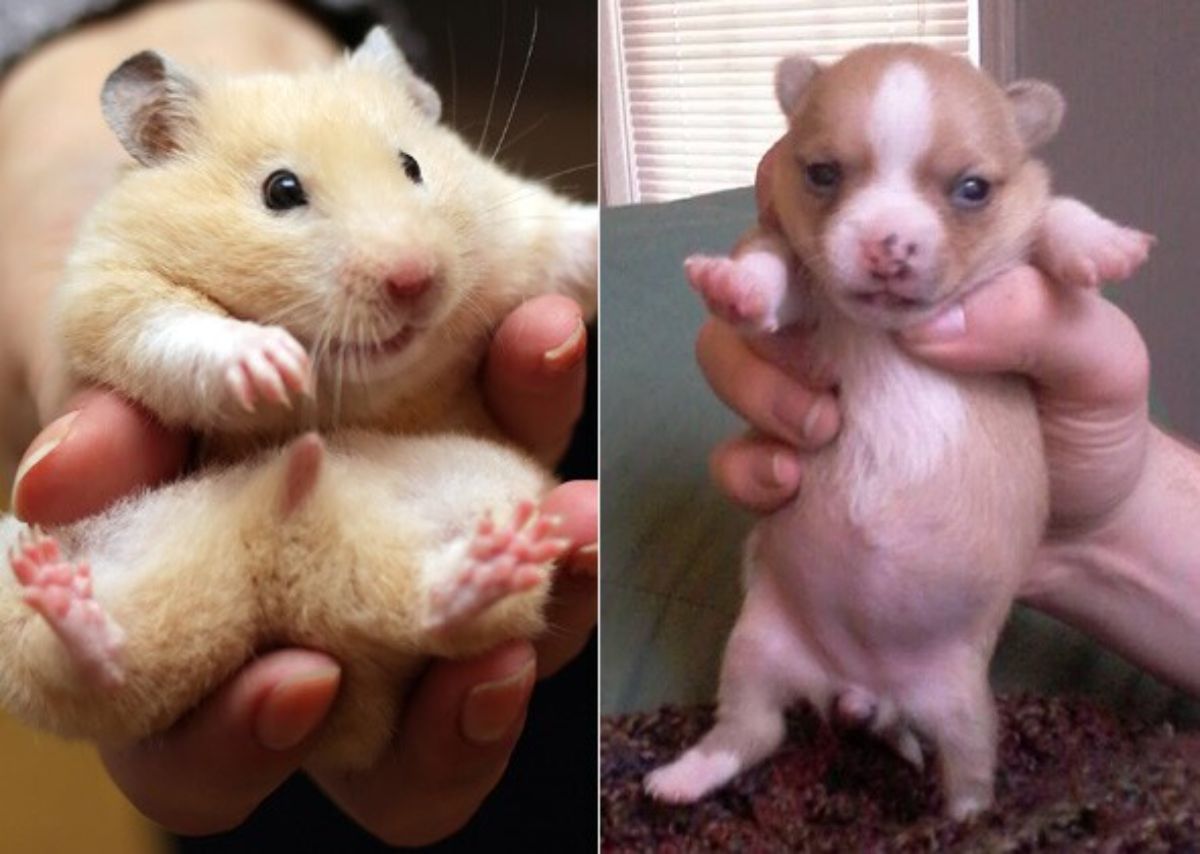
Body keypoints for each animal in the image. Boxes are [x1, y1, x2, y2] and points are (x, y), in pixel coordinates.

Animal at [51, 25, 595, 453]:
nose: (414, 280)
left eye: (412, 165)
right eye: (281, 190)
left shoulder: (515, 233)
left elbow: (563, 240)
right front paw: (274, 365)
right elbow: (175, 327)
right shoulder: (104, 295)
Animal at [648, 43, 1152, 815]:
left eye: (972, 189)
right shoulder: (803, 289)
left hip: (965, 704)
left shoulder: (1022, 253)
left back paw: (965, 822)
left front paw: (1102, 245)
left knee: (968, 773)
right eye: (823, 174)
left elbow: (1054, 214)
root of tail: (863, 687)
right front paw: (737, 286)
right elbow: (771, 267)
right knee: (753, 732)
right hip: (756, 649)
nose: (887, 246)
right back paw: (683, 778)